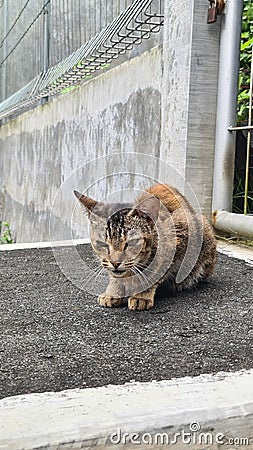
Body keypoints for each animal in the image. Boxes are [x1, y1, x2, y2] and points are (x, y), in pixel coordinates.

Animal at [74, 185, 216, 312]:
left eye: (131, 242)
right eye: (102, 244)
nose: (115, 263)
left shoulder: (178, 238)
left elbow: (154, 272)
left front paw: (141, 296)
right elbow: (114, 276)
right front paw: (112, 292)